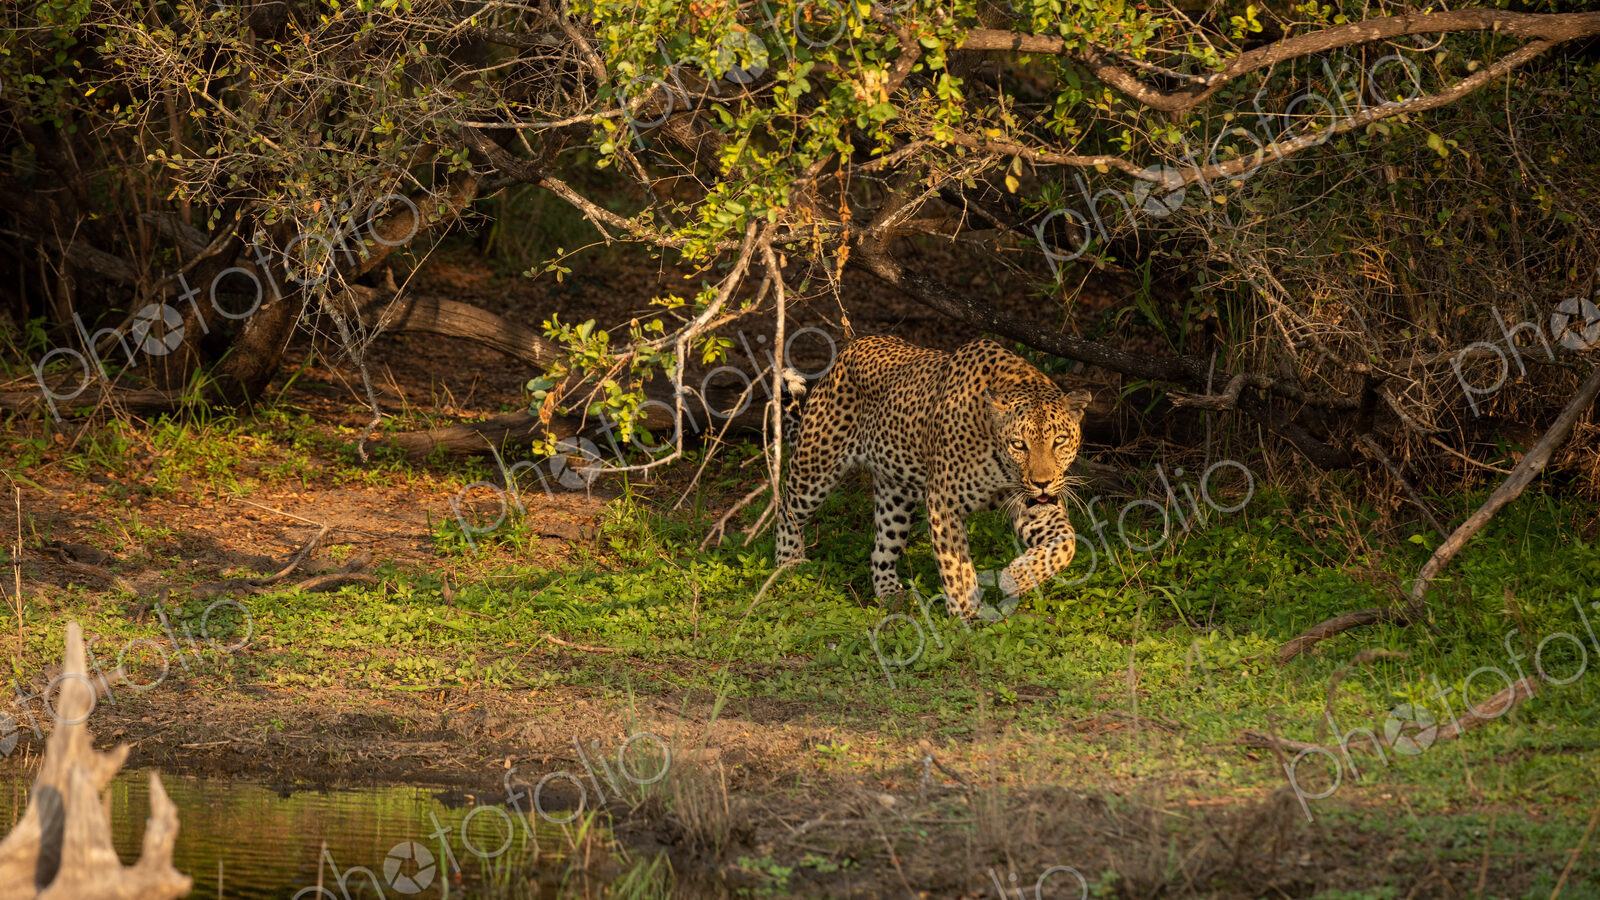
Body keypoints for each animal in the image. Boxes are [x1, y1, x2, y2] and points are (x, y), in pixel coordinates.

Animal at [775, 335, 1092, 619]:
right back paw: (788, 567)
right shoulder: (944, 503)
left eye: (1059, 440)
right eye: (1018, 444)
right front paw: (965, 615)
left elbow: (1067, 544)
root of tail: (847, 350)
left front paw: (1016, 576)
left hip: (896, 497)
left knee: (880, 549)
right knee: (786, 508)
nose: (1042, 483)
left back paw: (891, 595)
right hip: (815, 466)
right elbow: (955, 567)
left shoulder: (1033, 508)